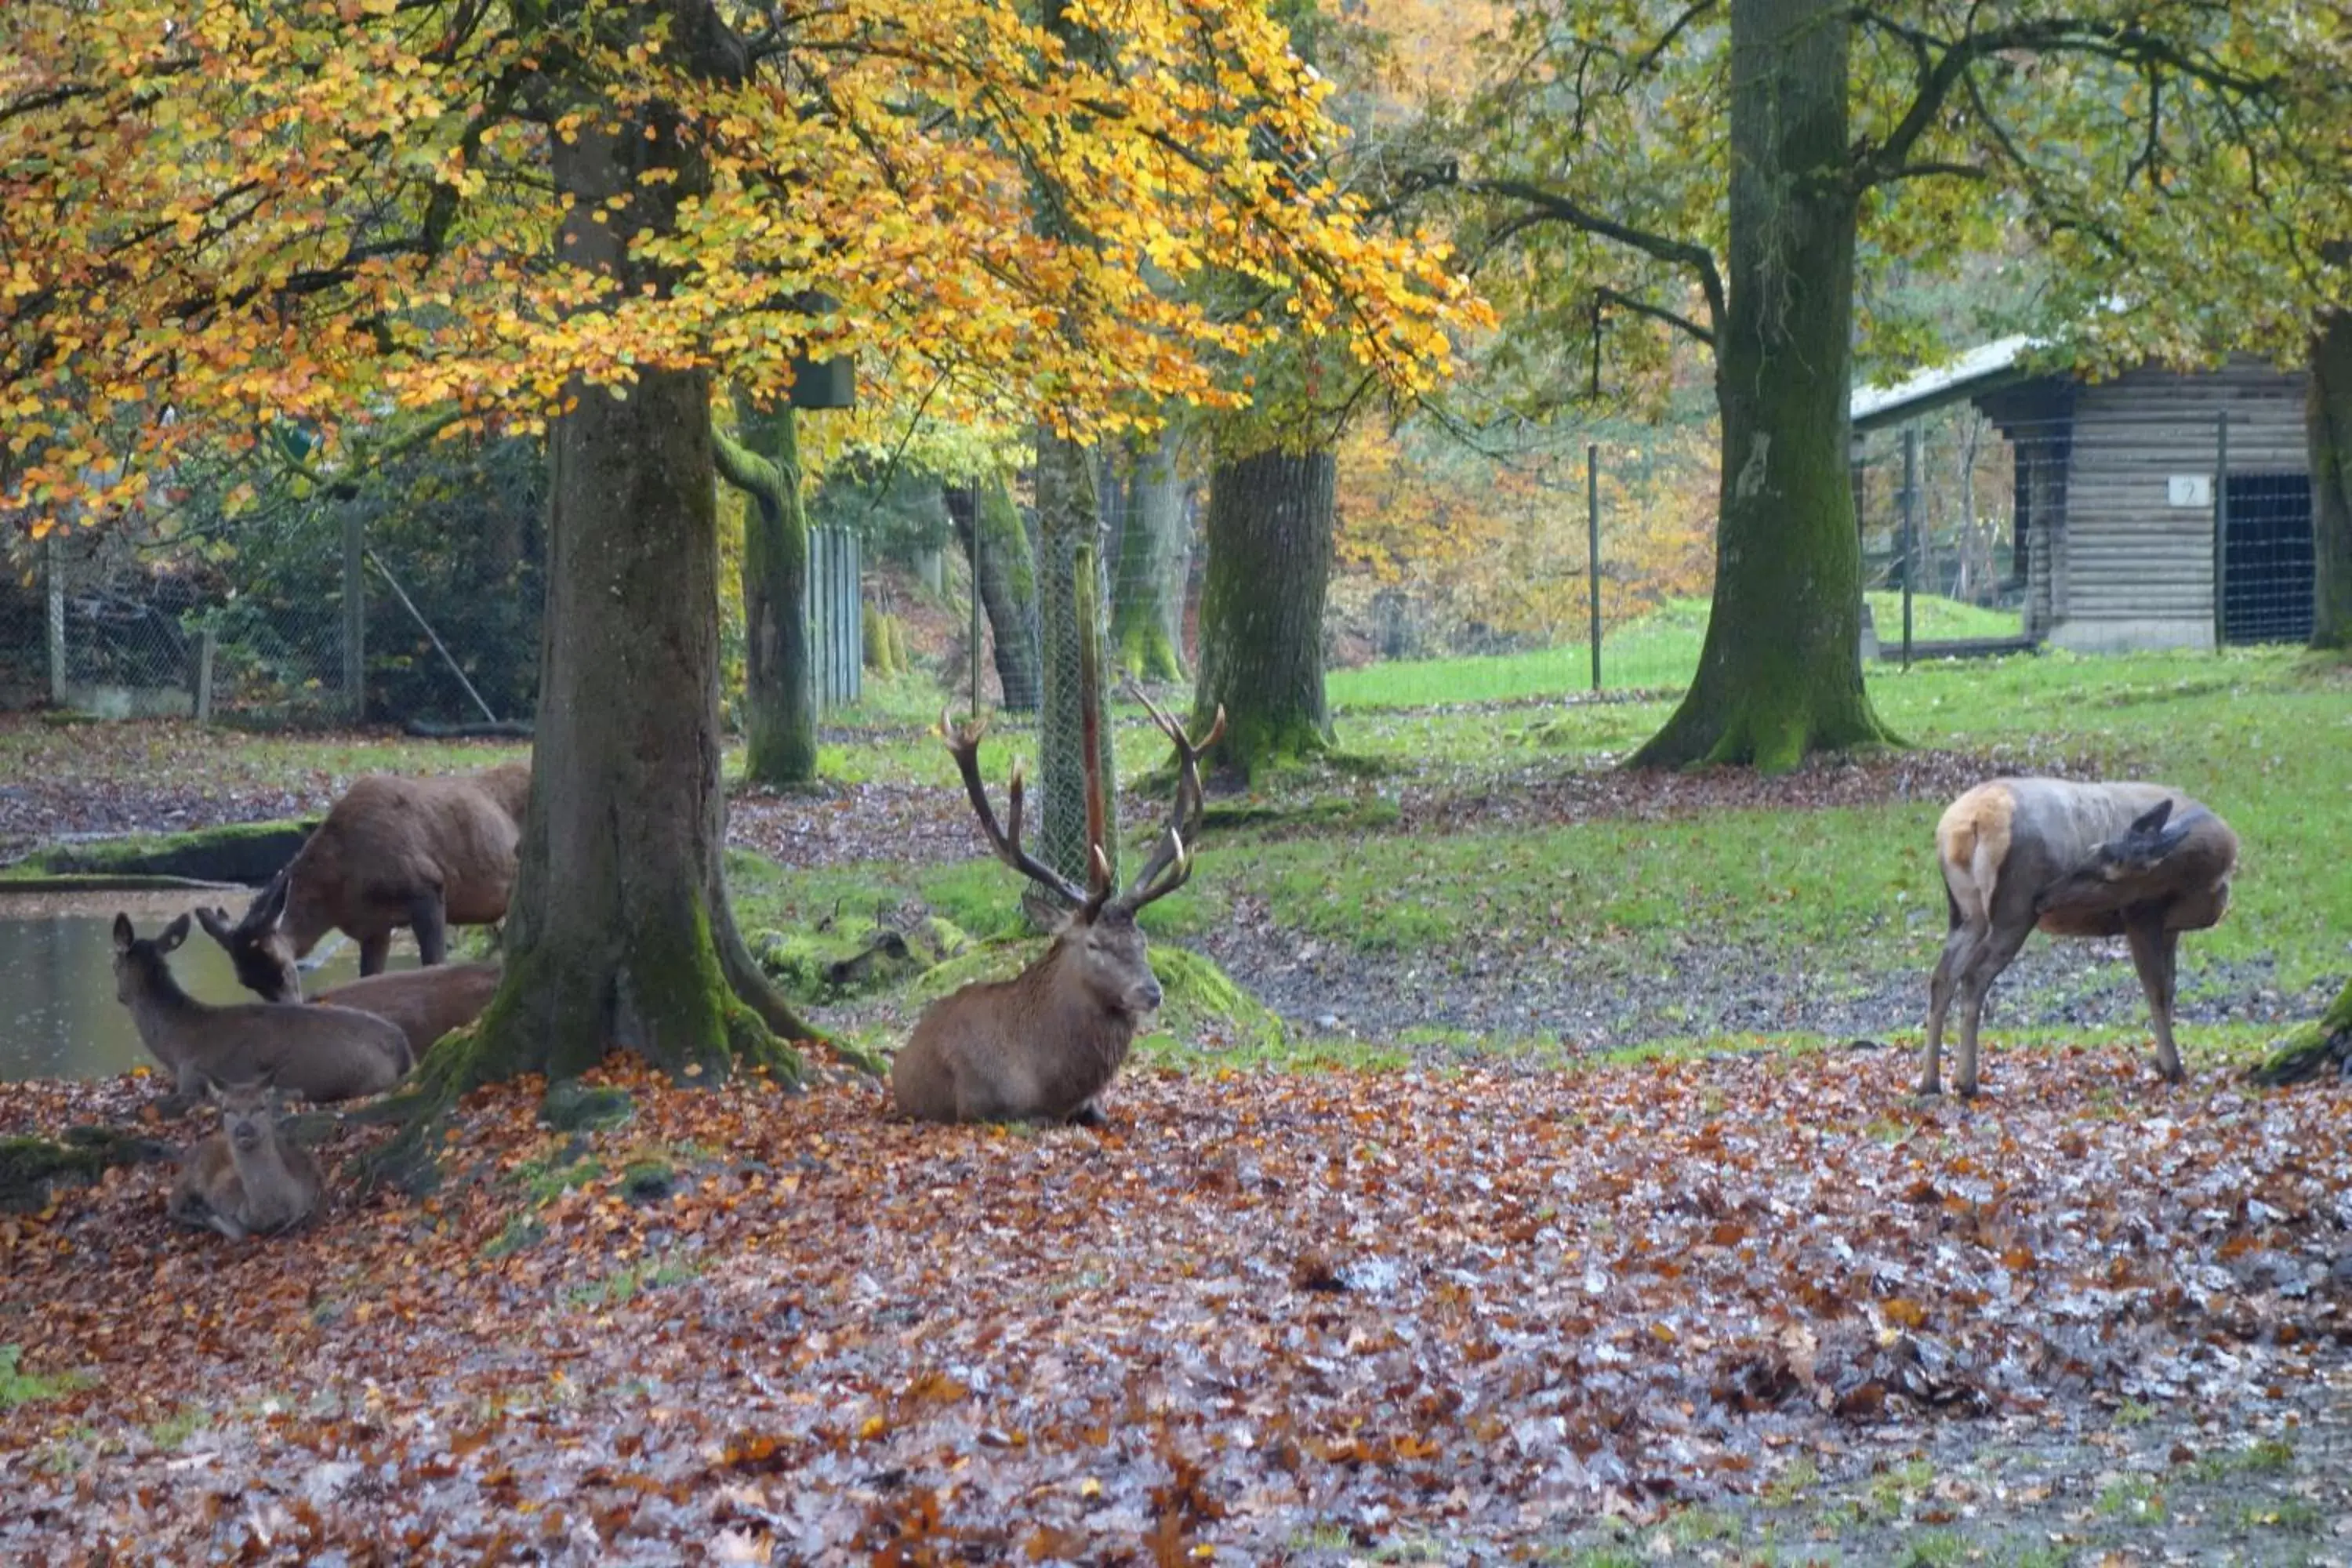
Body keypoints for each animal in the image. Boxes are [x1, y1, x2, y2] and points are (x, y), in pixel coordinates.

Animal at [169, 1081, 327, 1241]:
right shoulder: (221, 1193)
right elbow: (237, 1231)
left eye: (261, 1106)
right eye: (227, 1109)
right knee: (173, 1202)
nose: (244, 1131)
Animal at [894, 691, 1232, 1128]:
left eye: (1142, 939)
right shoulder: (981, 1107)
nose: (1151, 991)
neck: (1051, 1085)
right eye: (1093, 944)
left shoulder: (1089, 1103)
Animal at [1919, 780, 2230, 1100]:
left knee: (1942, 976)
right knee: (1974, 975)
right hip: (2013, 909)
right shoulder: (2141, 913)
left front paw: (2164, 1065)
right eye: (2092, 855)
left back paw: (1930, 1082)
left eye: (2103, 872)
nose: (2044, 897)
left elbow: (2168, 986)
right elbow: (2156, 989)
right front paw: (2172, 1067)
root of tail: (1967, 824)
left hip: (1966, 912)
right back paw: (1966, 1082)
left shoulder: (2169, 928)